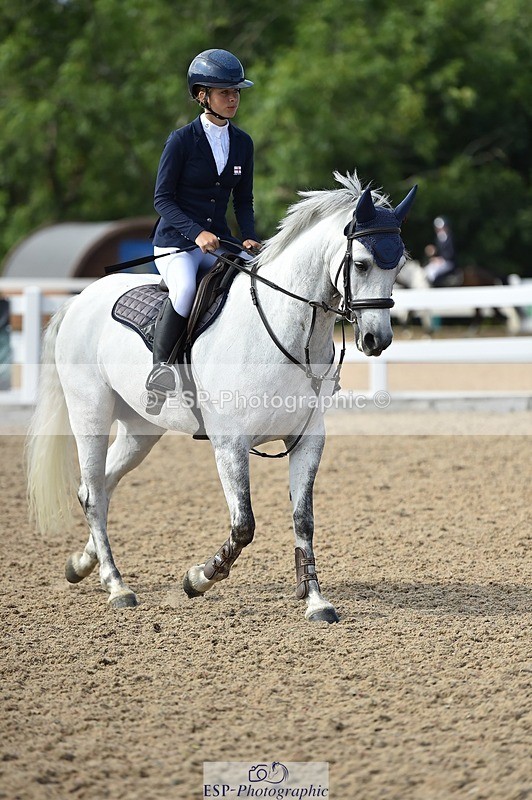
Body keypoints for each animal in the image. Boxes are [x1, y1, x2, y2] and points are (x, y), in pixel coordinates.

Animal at [26, 172, 416, 624]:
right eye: (361, 263)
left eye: (399, 266)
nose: (376, 340)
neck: (283, 328)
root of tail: (79, 299)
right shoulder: (230, 443)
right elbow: (243, 524)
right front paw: (198, 578)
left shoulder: (307, 440)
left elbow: (303, 520)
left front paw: (316, 601)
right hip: (90, 413)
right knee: (91, 493)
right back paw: (116, 585)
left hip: (141, 430)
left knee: (103, 486)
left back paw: (81, 564)